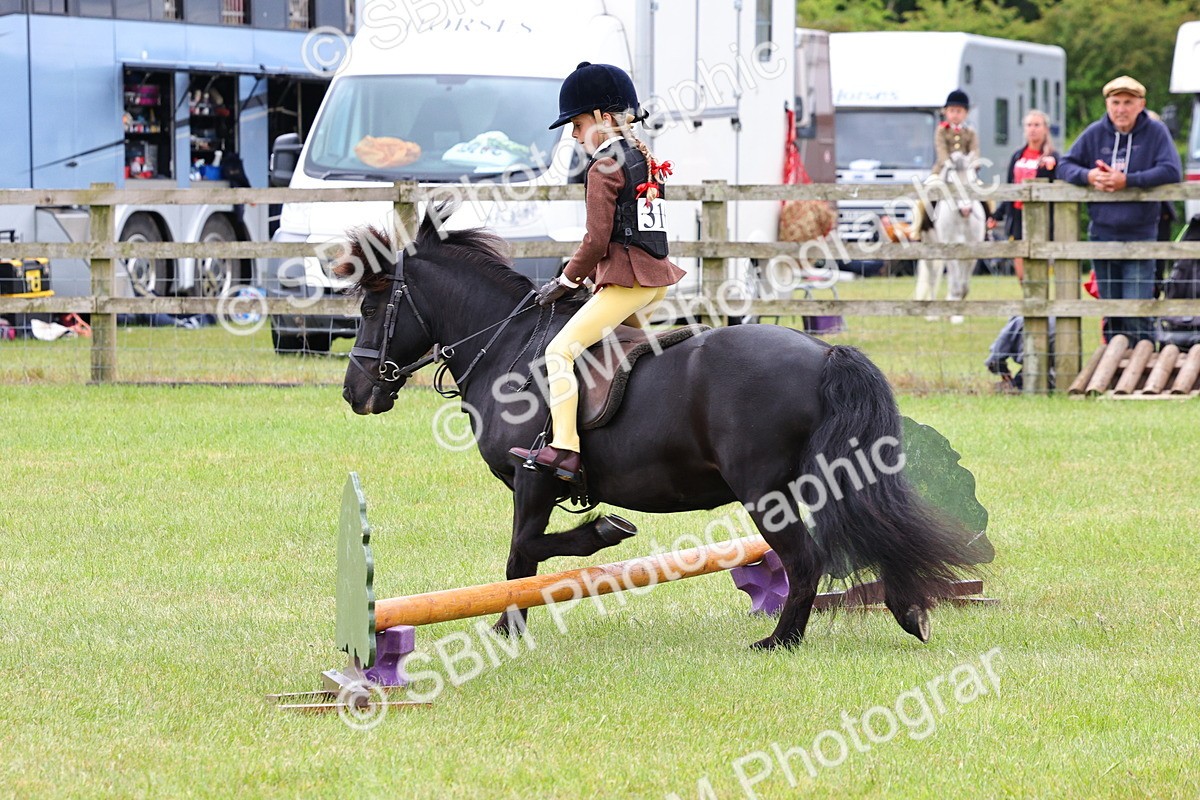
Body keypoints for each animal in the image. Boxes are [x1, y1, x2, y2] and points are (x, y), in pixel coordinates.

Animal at [336, 208, 980, 649]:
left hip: (764, 490)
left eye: (369, 309)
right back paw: (902, 612)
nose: (355, 393)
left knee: (805, 560)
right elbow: (525, 557)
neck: (504, 347)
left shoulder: (533, 479)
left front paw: (519, 614)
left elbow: (522, 554)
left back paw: (779, 641)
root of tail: (822, 353)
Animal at [914, 152, 989, 323]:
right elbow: (955, 285)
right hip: (930, 248)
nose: (966, 210)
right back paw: (933, 314)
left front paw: (956, 314)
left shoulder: (971, 254)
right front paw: (954, 315)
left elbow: (963, 286)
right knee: (933, 278)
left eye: (973, 181)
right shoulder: (950, 250)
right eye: (951, 183)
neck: (961, 220)